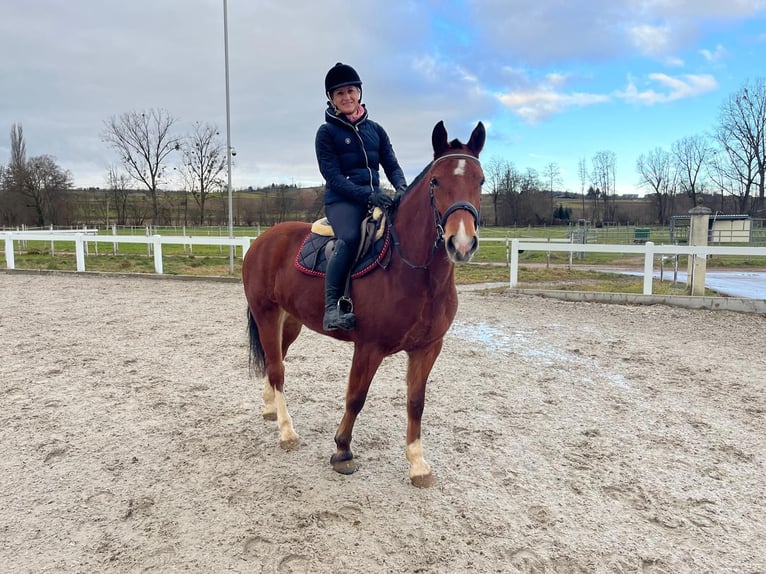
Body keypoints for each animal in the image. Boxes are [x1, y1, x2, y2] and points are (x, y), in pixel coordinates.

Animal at [244, 120, 486, 486]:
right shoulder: (369, 347)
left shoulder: (428, 348)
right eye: (436, 181)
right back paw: (287, 432)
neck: (415, 273)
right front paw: (342, 451)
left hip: (290, 321)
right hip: (266, 315)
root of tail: (263, 240)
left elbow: (416, 401)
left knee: (277, 363)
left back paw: (270, 408)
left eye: (481, 181)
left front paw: (418, 463)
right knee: (277, 369)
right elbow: (356, 397)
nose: (460, 243)